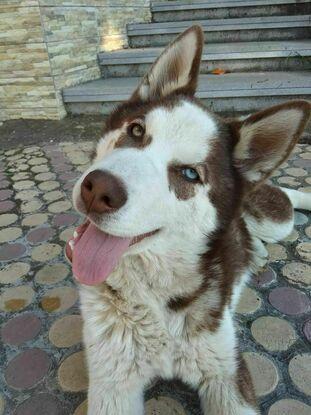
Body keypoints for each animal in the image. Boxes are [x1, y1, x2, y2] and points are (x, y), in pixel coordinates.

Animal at [66, 26, 311, 415]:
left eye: (189, 174)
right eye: (136, 131)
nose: (98, 189)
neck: (156, 299)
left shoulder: (228, 375)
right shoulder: (112, 382)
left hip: (274, 219)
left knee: (286, 203)